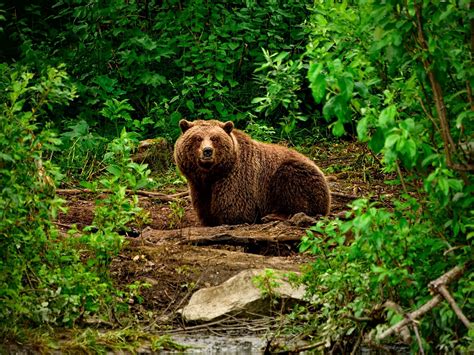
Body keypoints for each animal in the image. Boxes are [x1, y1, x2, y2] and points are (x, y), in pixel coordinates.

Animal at [173, 119, 330, 225]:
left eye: (215, 138)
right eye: (198, 138)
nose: (207, 151)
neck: (212, 174)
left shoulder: (237, 178)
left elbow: (235, 209)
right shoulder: (199, 186)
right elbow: (204, 208)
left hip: (295, 173)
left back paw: (273, 216)